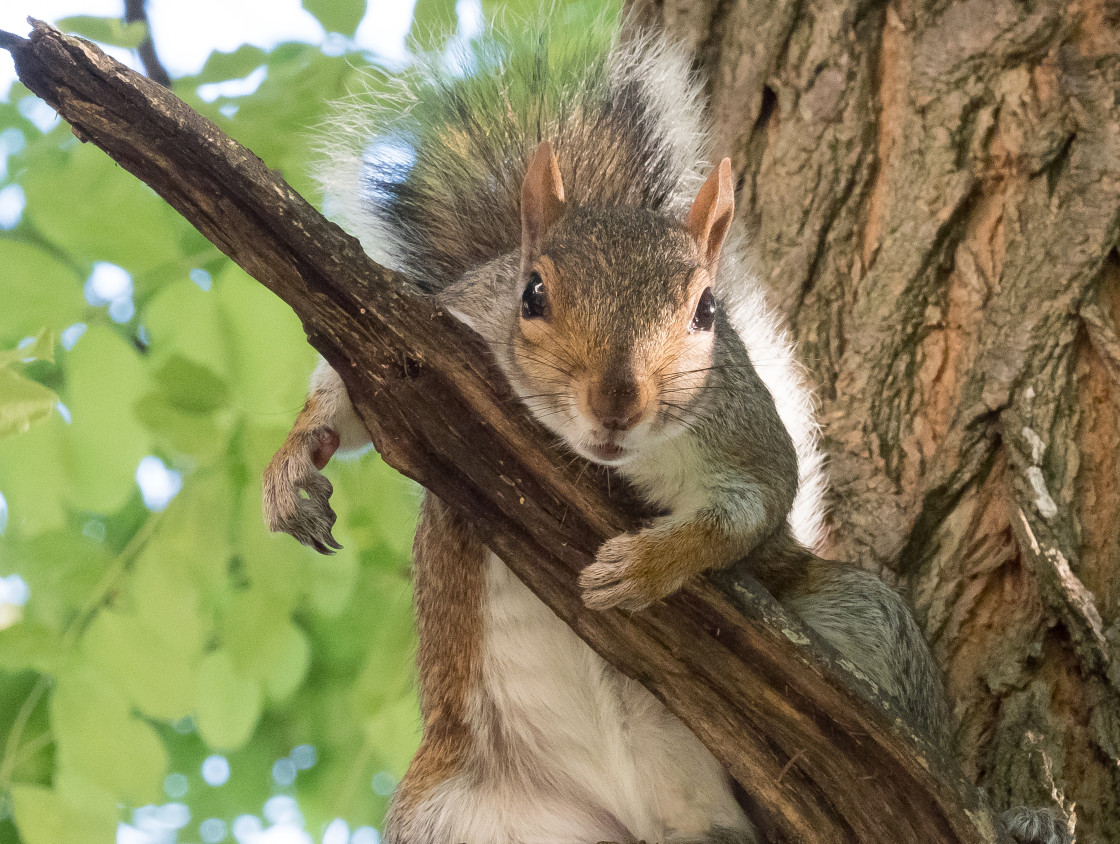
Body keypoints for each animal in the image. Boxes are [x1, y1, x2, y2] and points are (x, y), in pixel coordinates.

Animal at [264, 18, 1075, 841]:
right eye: (531, 294)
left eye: (707, 312)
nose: (616, 403)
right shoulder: (438, 329)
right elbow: (351, 388)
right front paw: (295, 462)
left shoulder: (746, 435)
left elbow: (746, 509)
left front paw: (647, 565)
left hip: (856, 621)